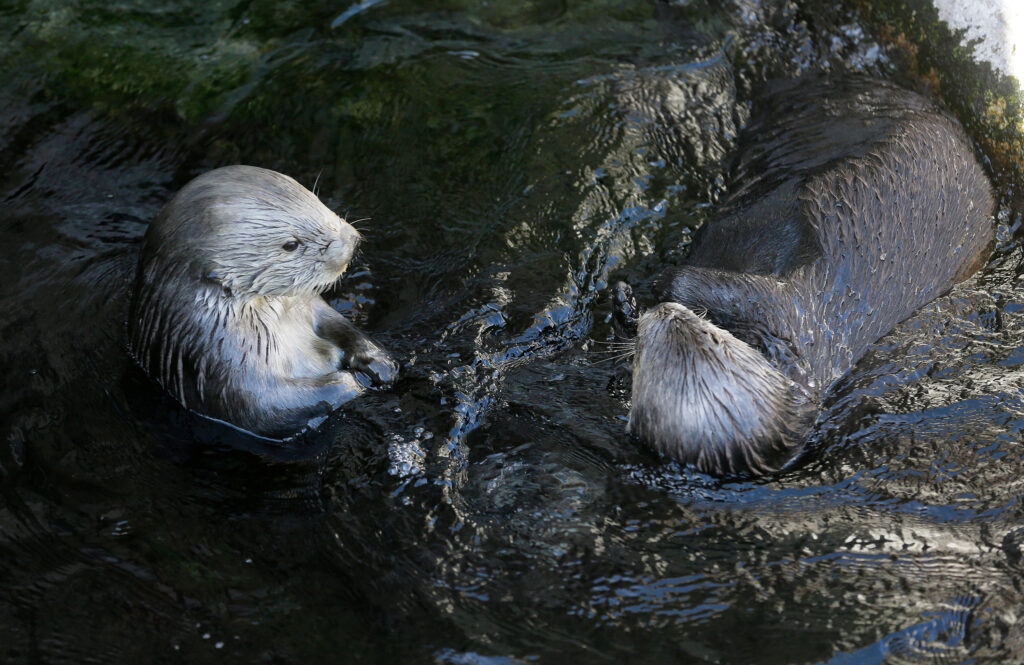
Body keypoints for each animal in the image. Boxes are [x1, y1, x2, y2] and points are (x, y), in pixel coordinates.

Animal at [127, 165, 397, 438]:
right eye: (291, 244)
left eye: (316, 200)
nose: (352, 241)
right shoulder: (222, 362)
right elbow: (266, 408)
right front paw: (354, 381)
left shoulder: (310, 306)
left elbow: (338, 324)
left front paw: (379, 362)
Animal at [615, 77, 995, 476]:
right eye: (644, 361)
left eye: (711, 336)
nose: (664, 312)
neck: (793, 357)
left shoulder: (780, 316)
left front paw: (639, 295)